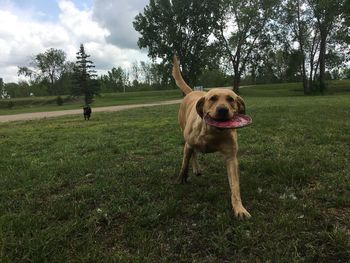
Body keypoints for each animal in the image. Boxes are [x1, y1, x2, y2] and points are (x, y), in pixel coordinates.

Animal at [173, 56, 252, 220]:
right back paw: (195, 168)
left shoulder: (231, 157)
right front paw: (181, 178)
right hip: (185, 135)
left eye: (231, 99)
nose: (222, 110)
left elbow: (235, 185)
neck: (212, 132)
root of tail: (192, 92)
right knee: (192, 154)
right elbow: (184, 163)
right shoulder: (189, 143)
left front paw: (239, 208)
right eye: (213, 99)